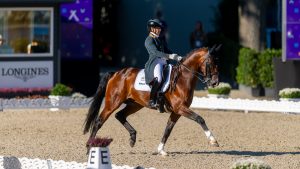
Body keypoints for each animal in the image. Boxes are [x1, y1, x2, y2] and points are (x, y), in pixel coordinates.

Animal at [84, 45, 220, 156]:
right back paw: (89, 148)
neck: (182, 79)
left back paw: (133, 138)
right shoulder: (180, 108)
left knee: (120, 115)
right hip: (112, 102)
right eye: (210, 63)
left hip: (135, 104)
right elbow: (199, 118)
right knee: (99, 122)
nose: (215, 83)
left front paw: (161, 150)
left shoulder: (177, 111)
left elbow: (168, 129)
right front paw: (213, 140)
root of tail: (116, 73)